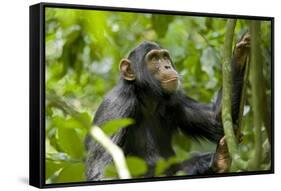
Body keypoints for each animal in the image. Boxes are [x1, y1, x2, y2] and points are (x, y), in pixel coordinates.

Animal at [83, 32, 249, 181]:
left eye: (164, 57)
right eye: (153, 59)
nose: (167, 66)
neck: (146, 97)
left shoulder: (174, 100)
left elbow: (216, 120)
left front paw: (240, 52)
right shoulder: (116, 107)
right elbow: (102, 170)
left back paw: (219, 159)